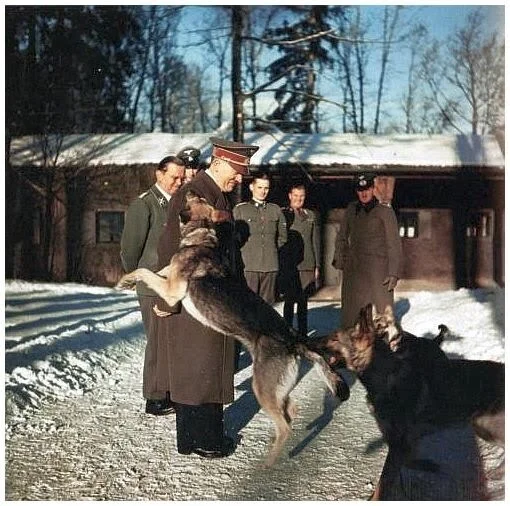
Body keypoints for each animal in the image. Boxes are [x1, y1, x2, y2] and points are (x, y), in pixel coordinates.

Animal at [116, 191, 348, 466]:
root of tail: (294, 339)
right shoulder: (169, 275)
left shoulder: (173, 291)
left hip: (263, 389)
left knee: (285, 426)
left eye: (197, 197)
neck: (202, 237)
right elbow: (153, 270)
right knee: (292, 410)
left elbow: (147, 271)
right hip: (276, 390)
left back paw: (269, 462)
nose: (188, 187)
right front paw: (128, 281)